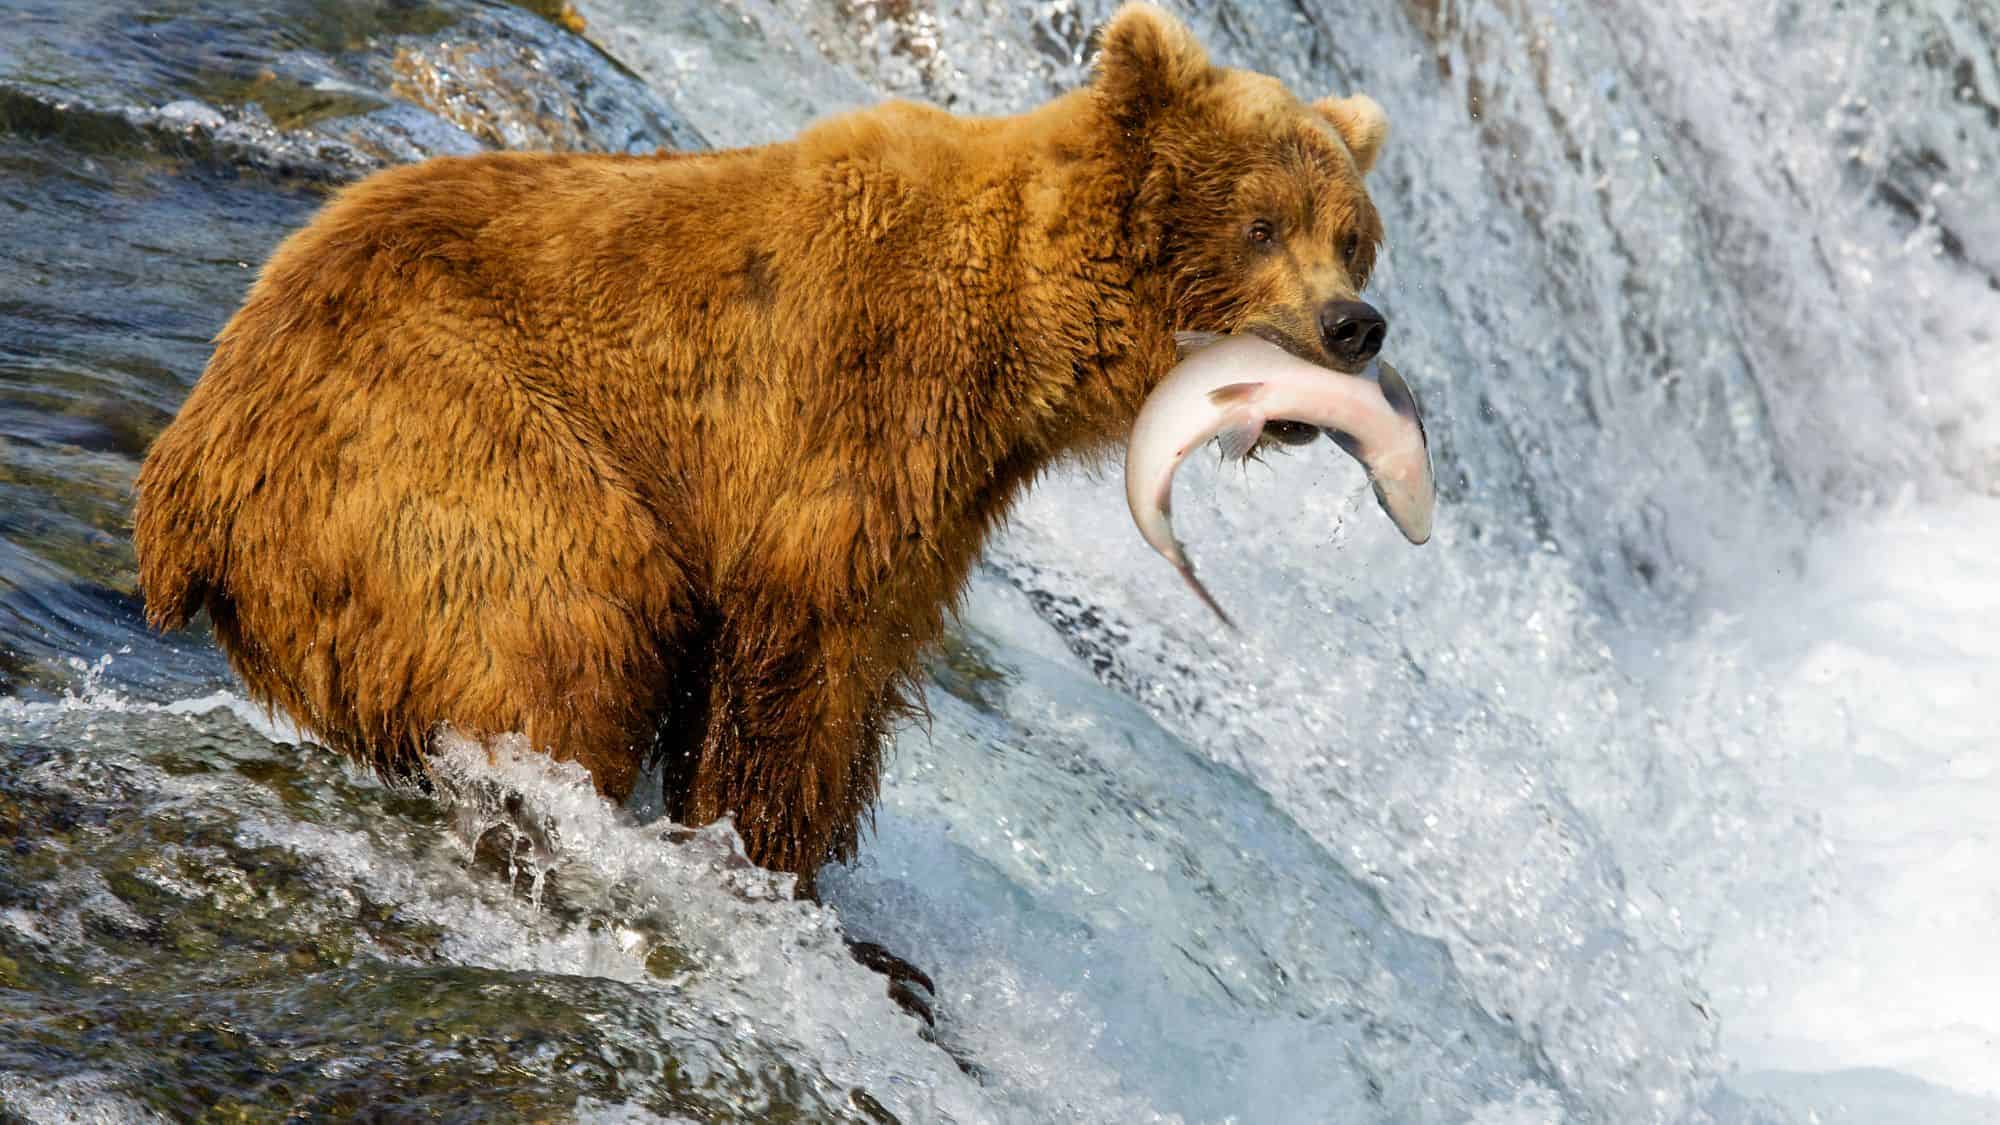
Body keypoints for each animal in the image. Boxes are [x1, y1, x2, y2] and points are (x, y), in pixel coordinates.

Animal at [132, 2, 1391, 897]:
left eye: (1352, 238)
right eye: (1261, 223)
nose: (1354, 325)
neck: (1024, 333)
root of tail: (181, 479)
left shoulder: (948, 491)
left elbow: (865, 661)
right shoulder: (860, 401)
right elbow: (800, 647)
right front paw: (758, 851)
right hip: (437, 430)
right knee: (572, 615)